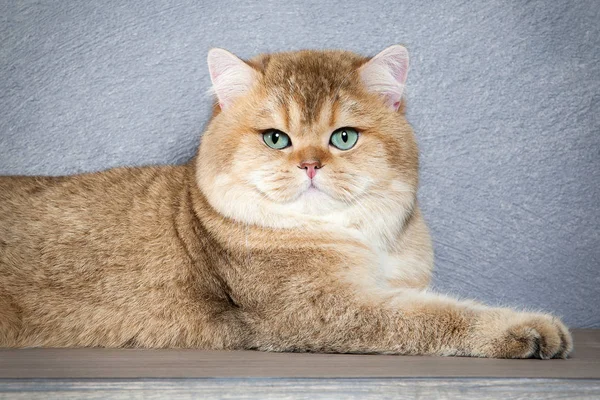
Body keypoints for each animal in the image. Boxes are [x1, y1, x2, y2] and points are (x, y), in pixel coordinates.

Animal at [0, 45, 572, 358]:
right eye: (276, 138)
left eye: (344, 137)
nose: (311, 164)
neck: (361, 235)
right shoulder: (318, 311)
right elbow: (437, 316)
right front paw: (526, 327)